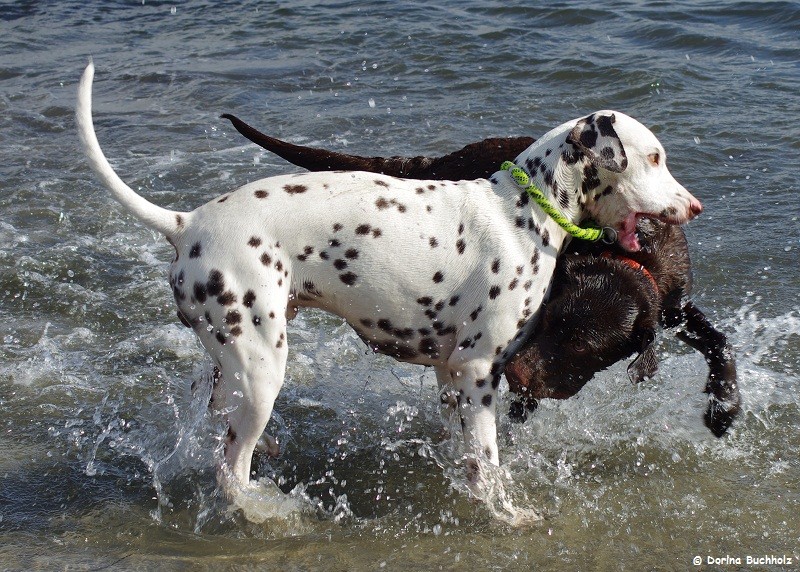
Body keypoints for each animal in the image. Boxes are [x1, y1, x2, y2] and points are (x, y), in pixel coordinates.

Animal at [222, 114, 740, 436]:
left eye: (583, 347)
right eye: (551, 322)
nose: (513, 370)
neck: (630, 256)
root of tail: (440, 162)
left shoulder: (675, 305)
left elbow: (720, 344)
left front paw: (724, 408)